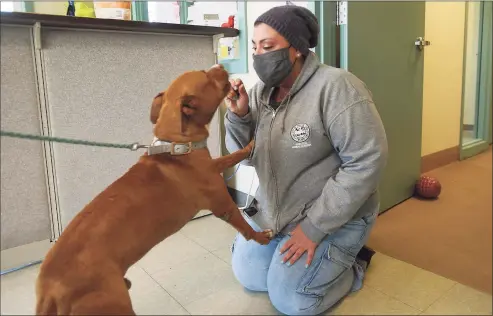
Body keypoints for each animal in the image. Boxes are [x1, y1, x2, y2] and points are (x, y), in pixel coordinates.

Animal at [35, 65, 270, 314]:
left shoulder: (213, 166)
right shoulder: (223, 205)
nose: (221, 66)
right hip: (112, 305)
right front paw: (261, 236)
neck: (177, 147)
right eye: (206, 76)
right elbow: (245, 226)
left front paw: (249, 145)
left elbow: (229, 158)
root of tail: (48, 290)